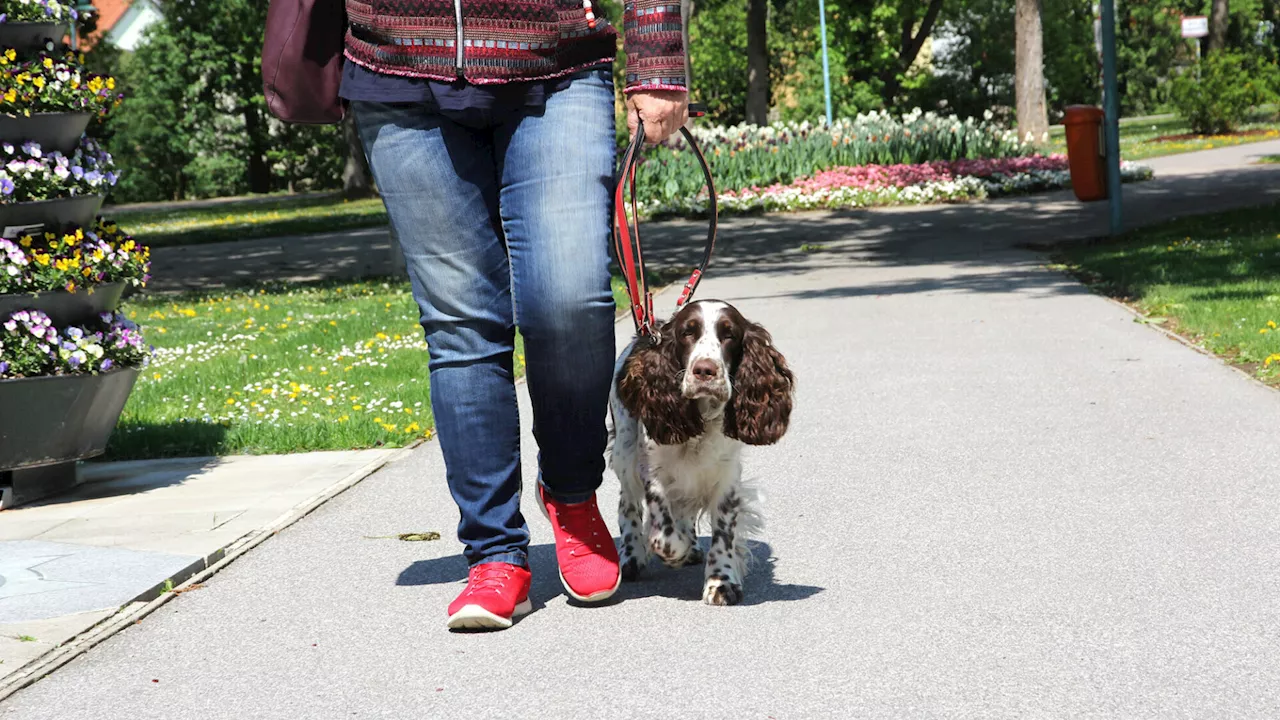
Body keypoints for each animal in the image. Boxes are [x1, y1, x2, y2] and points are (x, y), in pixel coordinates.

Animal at [606, 299, 788, 602]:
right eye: (687, 333)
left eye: (729, 334)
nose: (705, 370)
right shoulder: (652, 468)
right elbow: (663, 533)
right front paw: (674, 552)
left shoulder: (726, 475)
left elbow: (724, 532)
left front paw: (721, 581)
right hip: (625, 450)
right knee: (628, 503)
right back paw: (632, 555)